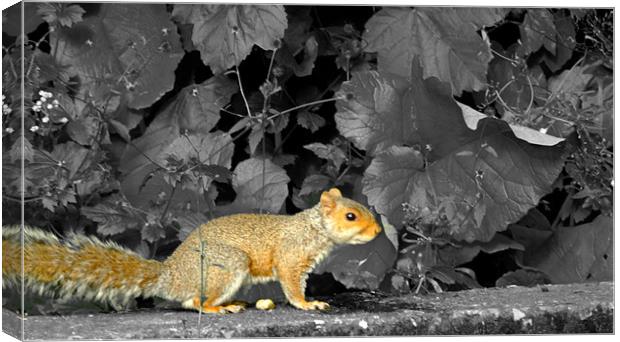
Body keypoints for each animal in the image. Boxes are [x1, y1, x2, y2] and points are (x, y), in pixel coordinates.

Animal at [2, 188, 382, 314]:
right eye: (351, 216)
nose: (379, 231)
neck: (313, 228)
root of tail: (170, 275)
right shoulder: (291, 257)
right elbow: (291, 284)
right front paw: (307, 303)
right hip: (226, 265)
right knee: (194, 301)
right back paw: (219, 308)